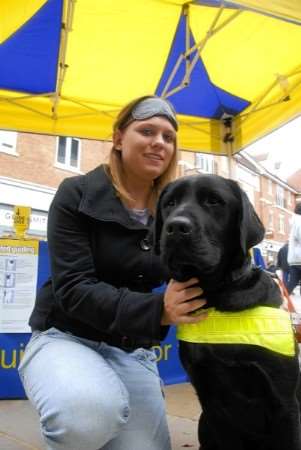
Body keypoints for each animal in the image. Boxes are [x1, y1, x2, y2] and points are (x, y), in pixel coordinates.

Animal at [154, 174, 298, 450]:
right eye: (170, 203)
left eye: (214, 201)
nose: (176, 227)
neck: (217, 294)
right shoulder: (210, 401)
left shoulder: (285, 402)